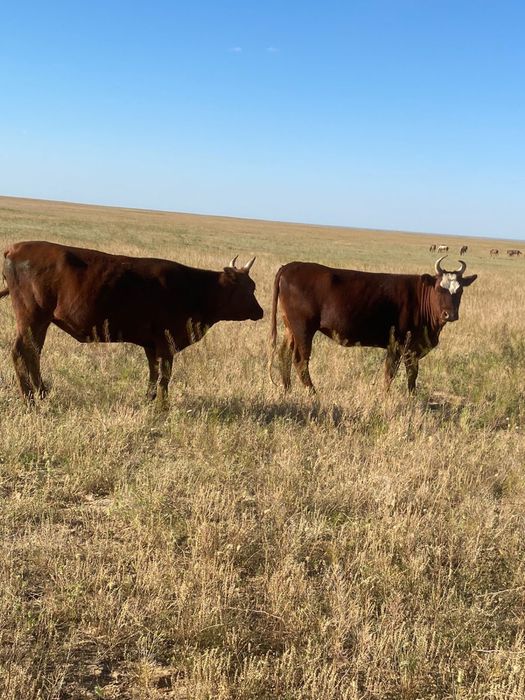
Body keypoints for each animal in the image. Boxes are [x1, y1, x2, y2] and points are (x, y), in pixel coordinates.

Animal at [0, 241, 263, 405]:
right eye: (250, 288)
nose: (261, 312)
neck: (194, 288)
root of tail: (15, 248)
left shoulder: (151, 345)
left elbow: (153, 373)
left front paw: (149, 399)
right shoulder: (166, 343)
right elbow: (165, 376)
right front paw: (163, 406)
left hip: (39, 321)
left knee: (33, 353)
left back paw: (41, 393)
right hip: (32, 317)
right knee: (21, 353)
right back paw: (30, 399)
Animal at [269, 257, 477, 394]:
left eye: (459, 291)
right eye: (440, 288)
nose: (450, 314)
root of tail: (290, 266)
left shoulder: (411, 348)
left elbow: (410, 374)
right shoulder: (399, 345)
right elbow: (393, 373)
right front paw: (388, 396)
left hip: (290, 328)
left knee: (284, 354)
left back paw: (287, 389)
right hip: (303, 328)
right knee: (300, 361)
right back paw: (313, 393)